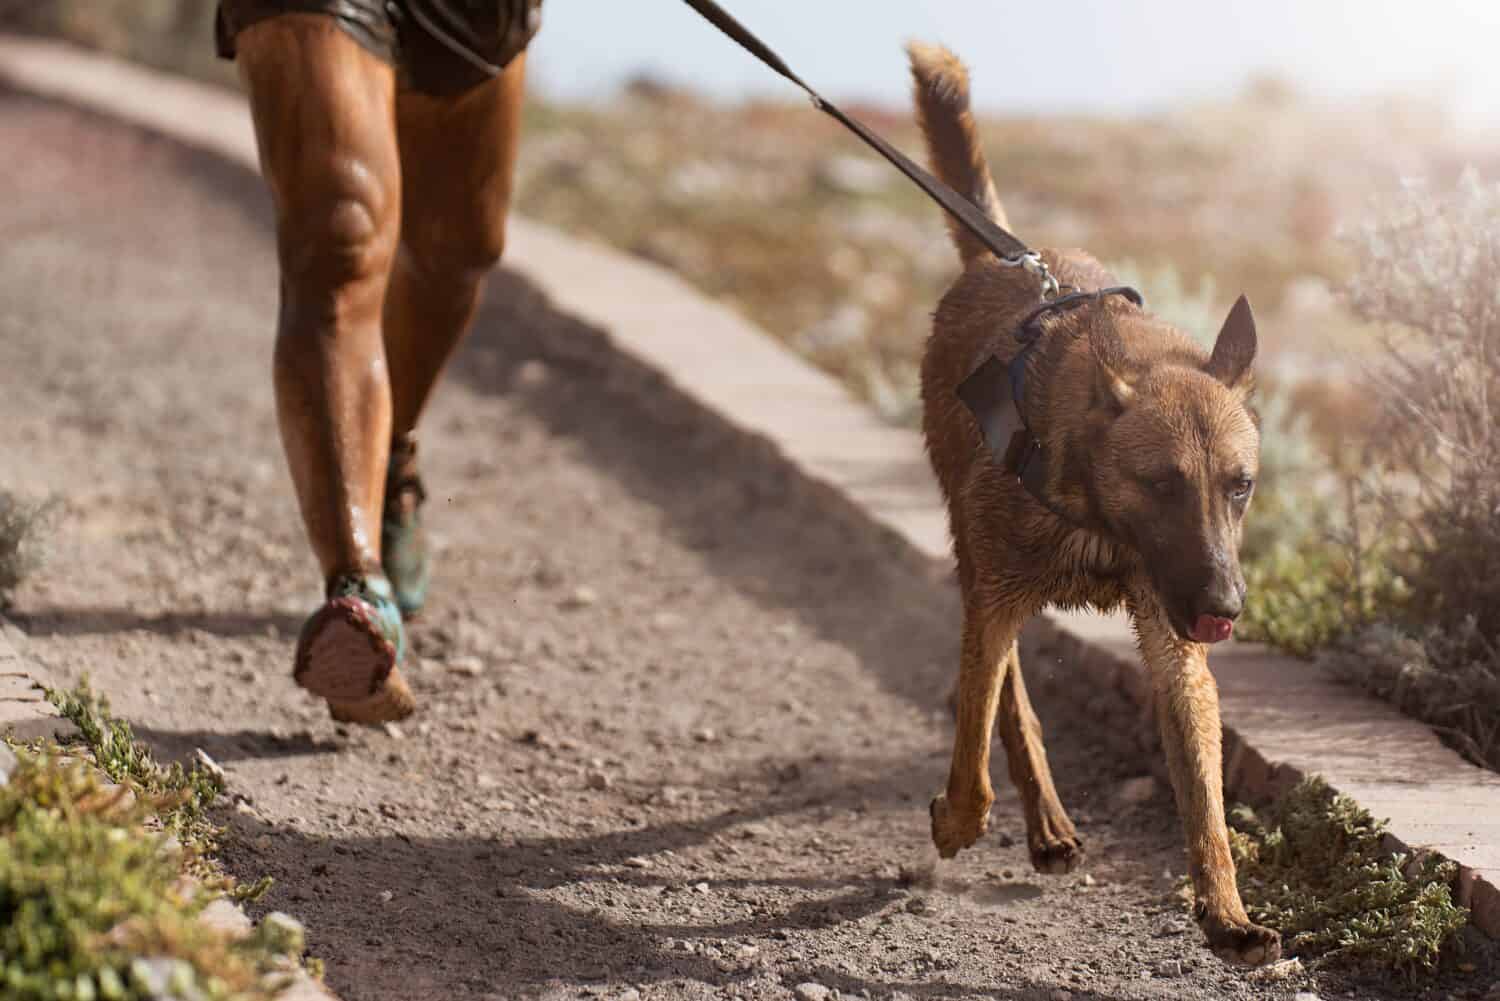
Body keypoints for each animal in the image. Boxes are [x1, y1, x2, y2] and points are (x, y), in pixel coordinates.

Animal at [900, 43, 1278, 966]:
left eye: (1240, 484)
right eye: (1163, 483)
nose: (1227, 606)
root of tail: (1000, 258)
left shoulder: (1177, 649)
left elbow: (1206, 807)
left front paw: (1226, 911)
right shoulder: (995, 598)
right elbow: (977, 746)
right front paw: (956, 817)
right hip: (979, 566)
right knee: (1009, 703)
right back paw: (1036, 815)